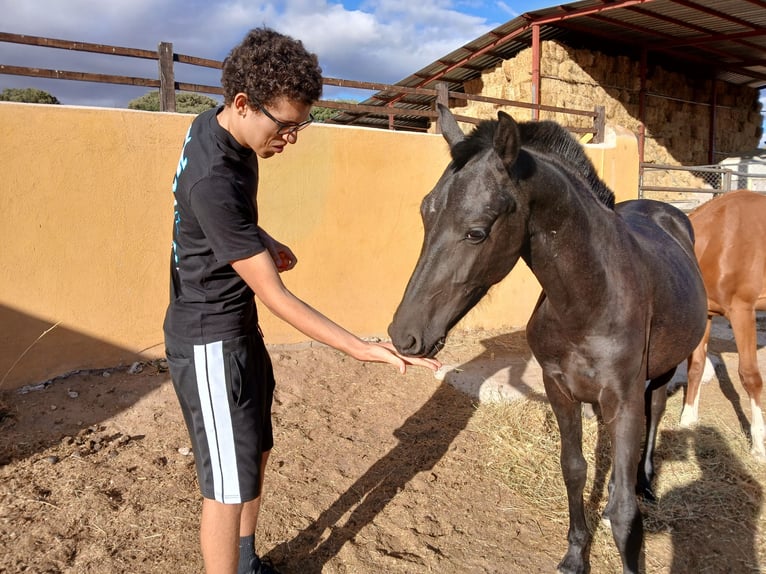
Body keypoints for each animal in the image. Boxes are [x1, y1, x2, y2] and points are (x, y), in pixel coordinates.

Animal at [390, 106, 708, 574]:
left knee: (658, 408)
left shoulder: (625, 397)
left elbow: (624, 513)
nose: (403, 335)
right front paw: (575, 555)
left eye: (476, 232)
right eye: (425, 214)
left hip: (664, 369)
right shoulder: (558, 388)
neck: (590, 299)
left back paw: (647, 483)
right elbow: (573, 469)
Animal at [684, 191, 766, 462]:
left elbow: (750, 376)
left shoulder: (742, 312)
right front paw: (687, 421)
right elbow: (696, 367)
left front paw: (758, 446)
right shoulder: (706, 314)